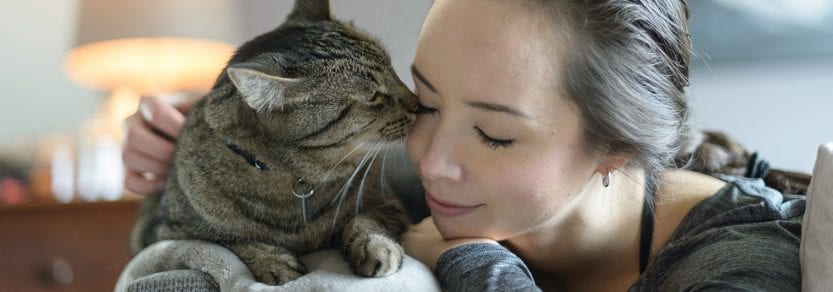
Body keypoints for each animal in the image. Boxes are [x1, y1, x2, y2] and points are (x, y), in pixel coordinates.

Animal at [132, 0, 416, 282]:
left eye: (393, 71)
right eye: (374, 96)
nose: (419, 104)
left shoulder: (388, 203)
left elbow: (366, 220)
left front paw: (376, 248)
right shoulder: (163, 233)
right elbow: (231, 242)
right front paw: (275, 263)